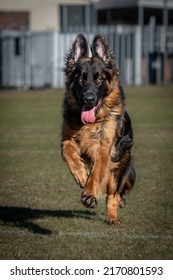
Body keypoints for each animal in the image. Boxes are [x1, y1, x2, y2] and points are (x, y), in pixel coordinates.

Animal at [60, 33, 135, 225]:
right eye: (81, 79)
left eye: (99, 79)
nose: (89, 99)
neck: (90, 124)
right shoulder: (66, 140)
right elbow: (69, 154)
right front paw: (80, 174)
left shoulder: (104, 150)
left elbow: (95, 174)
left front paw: (89, 194)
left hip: (123, 168)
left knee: (114, 195)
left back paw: (113, 215)